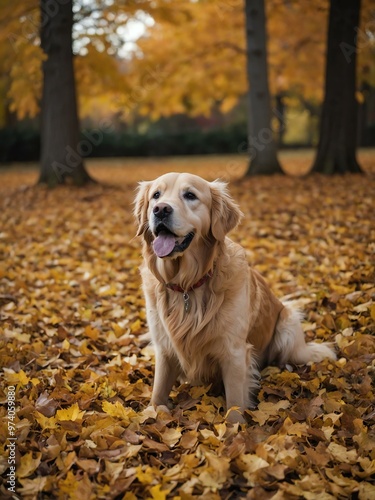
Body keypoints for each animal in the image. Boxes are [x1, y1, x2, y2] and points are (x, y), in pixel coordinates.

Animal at [134, 172, 336, 422]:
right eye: (156, 195)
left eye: (190, 195)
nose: (160, 209)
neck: (187, 286)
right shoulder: (164, 346)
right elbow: (159, 389)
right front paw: (152, 413)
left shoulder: (234, 352)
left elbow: (234, 401)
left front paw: (234, 428)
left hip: (288, 323)